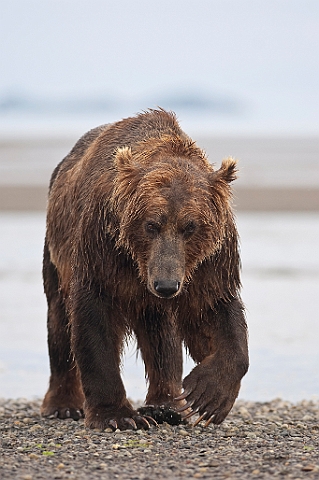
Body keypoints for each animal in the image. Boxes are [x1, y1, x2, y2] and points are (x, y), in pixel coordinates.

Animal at [40, 109, 250, 432]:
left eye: (190, 227)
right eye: (151, 224)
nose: (166, 285)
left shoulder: (209, 260)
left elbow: (213, 311)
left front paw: (207, 396)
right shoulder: (101, 246)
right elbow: (94, 321)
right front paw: (117, 415)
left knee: (162, 335)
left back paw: (166, 406)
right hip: (56, 251)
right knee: (59, 320)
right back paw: (63, 405)